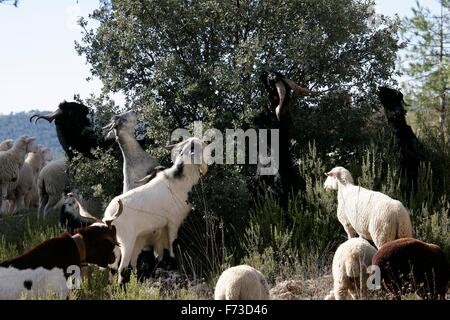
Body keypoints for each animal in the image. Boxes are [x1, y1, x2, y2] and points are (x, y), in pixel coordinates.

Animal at [104, 136, 210, 284]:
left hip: (116, 244)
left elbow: (160, 253)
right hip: (127, 240)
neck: (179, 181)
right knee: (122, 269)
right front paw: (173, 264)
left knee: (113, 268)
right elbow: (172, 245)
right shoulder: (173, 221)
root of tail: (109, 217)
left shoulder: (162, 229)